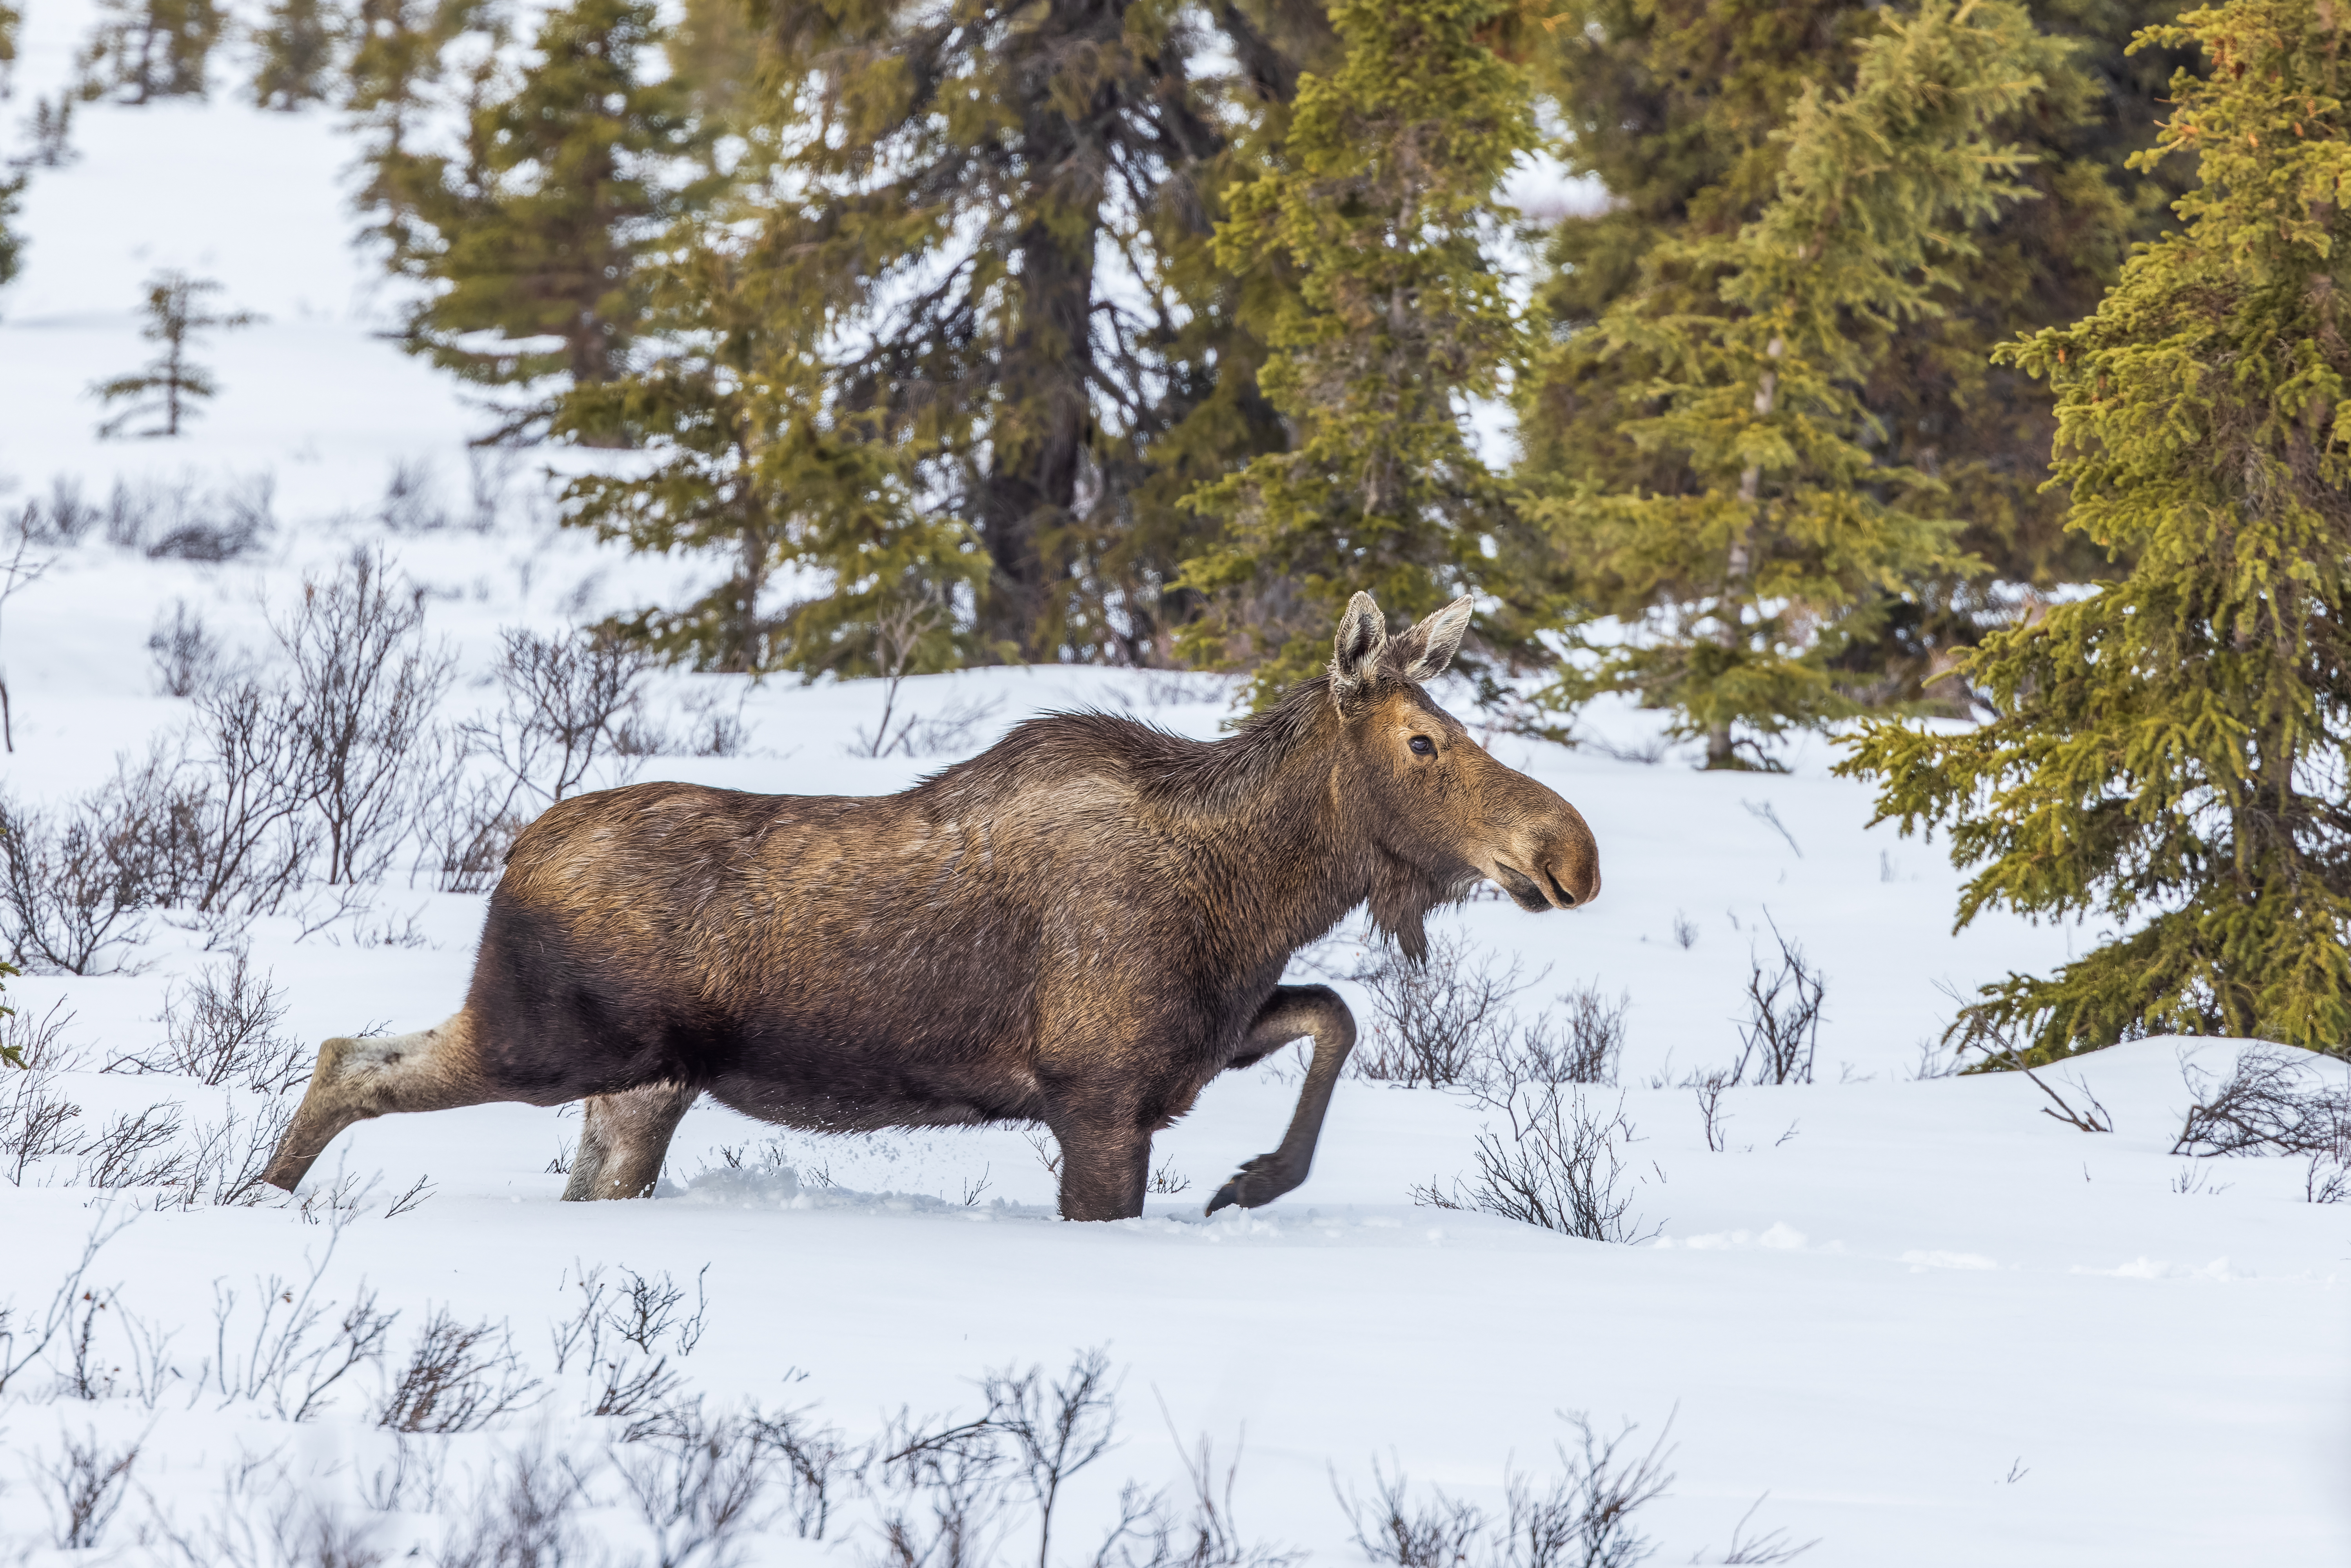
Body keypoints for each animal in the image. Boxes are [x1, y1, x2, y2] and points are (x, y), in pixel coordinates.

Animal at [267, 594, 1608, 1222]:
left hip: (640, 1086)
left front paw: (1253, 1179)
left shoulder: (1198, 1044)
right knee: (345, 1056)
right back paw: (258, 1200)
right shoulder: (1097, 1095)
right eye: (1426, 742)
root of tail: (516, 855)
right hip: (549, 1038)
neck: (1258, 893)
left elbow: (1334, 1014)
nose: (1572, 852)